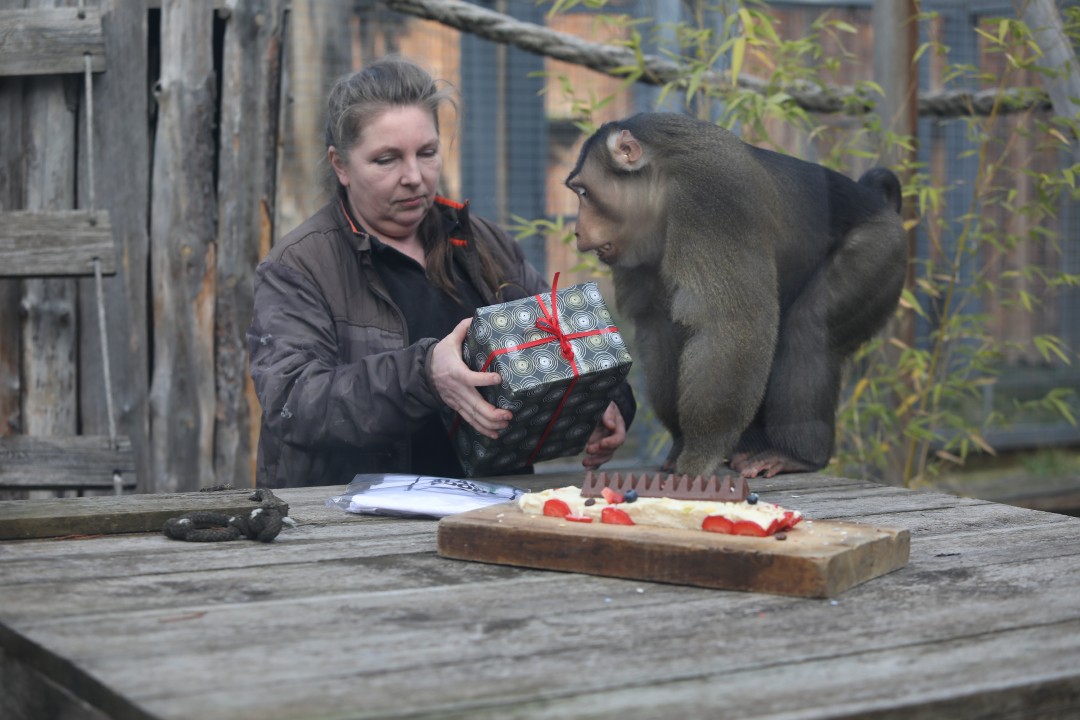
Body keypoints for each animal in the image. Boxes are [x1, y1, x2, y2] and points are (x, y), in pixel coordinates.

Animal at [570, 113, 907, 479]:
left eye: (584, 193)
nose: (577, 231)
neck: (662, 188)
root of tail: (880, 205)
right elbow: (658, 328)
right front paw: (681, 441)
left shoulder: (711, 200)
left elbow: (731, 324)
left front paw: (701, 451)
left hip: (882, 252)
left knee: (808, 328)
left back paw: (797, 454)